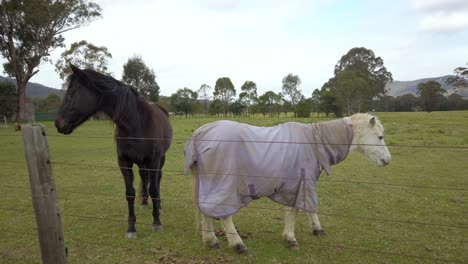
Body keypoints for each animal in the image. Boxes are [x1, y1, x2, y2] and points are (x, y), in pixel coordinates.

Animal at [55, 64, 172, 239]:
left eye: (71, 93)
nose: (58, 123)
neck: (136, 123)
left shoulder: (154, 160)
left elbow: (154, 189)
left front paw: (156, 222)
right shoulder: (124, 162)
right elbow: (130, 193)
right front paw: (131, 228)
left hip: (160, 160)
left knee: (157, 181)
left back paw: (159, 206)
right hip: (142, 163)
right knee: (144, 178)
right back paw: (145, 203)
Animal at [183, 113, 392, 254]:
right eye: (380, 137)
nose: (387, 160)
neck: (315, 141)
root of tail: (201, 132)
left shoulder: (301, 184)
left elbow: (308, 209)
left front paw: (317, 229)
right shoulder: (300, 183)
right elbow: (295, 211)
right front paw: (290, 239)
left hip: (209, 184)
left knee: (206, 211)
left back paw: (211, 241)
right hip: (225, 186)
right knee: (224, 215)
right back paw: (238, 245)